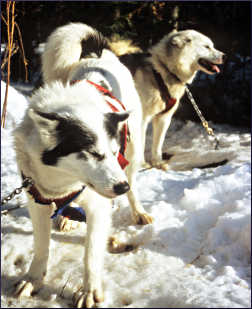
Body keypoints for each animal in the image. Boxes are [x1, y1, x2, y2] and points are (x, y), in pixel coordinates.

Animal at [13, 22, 152, 306]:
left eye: (112, 153)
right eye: (94, 154)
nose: (119, 188)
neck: (62, 179)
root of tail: (101, 55)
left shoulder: (99, 206)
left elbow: (91, 255)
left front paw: (89, 290)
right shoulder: (37, 203)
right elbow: (41, 247)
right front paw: (33, 279)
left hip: (133, 154)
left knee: (133, 183)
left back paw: (137, 210)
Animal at [113, 29, 225, 168]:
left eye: (212, 46)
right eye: (207, 46)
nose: (225, 56)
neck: (163, 70)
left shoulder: (164, 118)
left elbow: (157, 145)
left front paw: (157, 163)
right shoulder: (142, 120)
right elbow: (141, 144)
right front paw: (142, 164)